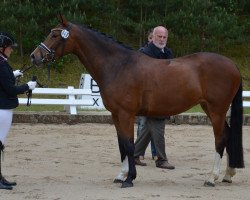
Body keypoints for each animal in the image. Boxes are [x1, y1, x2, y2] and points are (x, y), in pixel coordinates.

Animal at [29, 15, 244, 188]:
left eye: (55, 35)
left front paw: (129, 179)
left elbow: (129, 145)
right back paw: (227, 175)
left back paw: (211, 178)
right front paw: (121, 175)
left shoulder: (126, 114)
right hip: (210, 108)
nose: (34, 56)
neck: (119, 65)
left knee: (220, 139)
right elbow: (122, 145)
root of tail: (233, 65)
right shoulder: (116, 115)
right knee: (228, 135)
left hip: (216, 110)